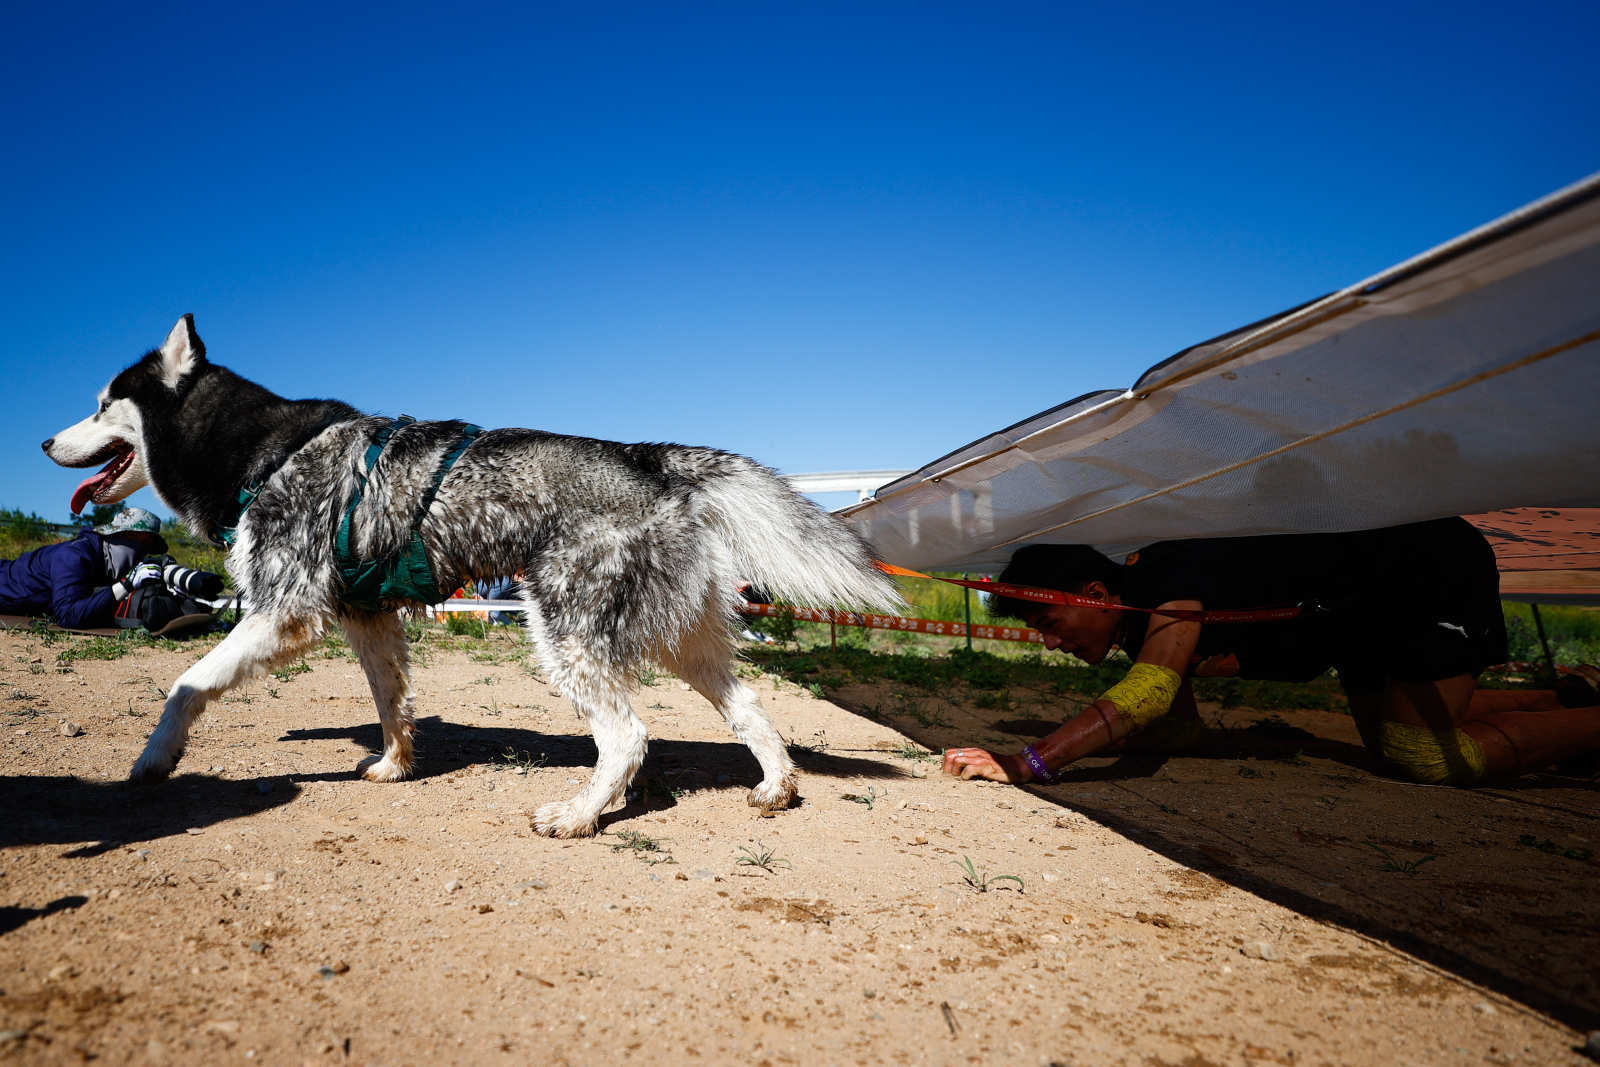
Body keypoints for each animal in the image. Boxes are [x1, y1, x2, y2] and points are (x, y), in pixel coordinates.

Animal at [46, 313, 902, 838]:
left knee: (626, 735)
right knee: (750, 706)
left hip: (565, 632)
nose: (49, 440)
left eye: (101, 405)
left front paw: (155, 759)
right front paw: (394, 765)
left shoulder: (281, 611)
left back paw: (579, 814)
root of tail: (647, 456)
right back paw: (776, 785)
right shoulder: (368, 619)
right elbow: (391, 702)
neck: (263, 449)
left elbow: (185, 684)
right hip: (682, 642)